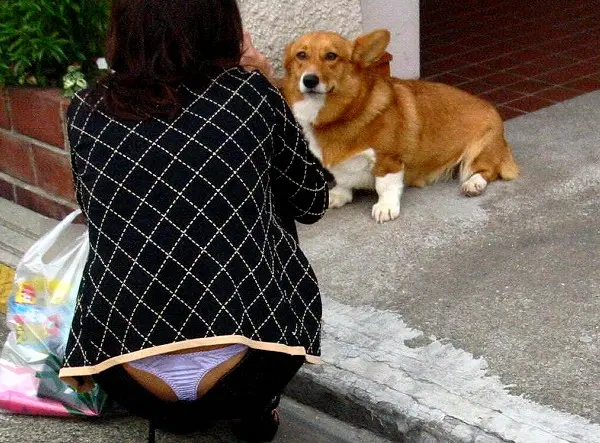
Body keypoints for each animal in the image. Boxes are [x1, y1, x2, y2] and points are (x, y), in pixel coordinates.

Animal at [284, 29, 516, 222]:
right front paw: (339, 195)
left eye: (331, 56)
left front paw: (385, 208)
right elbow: (343, 180)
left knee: (487, 170)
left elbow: (385, 185)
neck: (343, 114)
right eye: (301, 55)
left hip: (479, 149)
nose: (309, 80)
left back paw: (473, 184)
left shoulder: (389, 160)